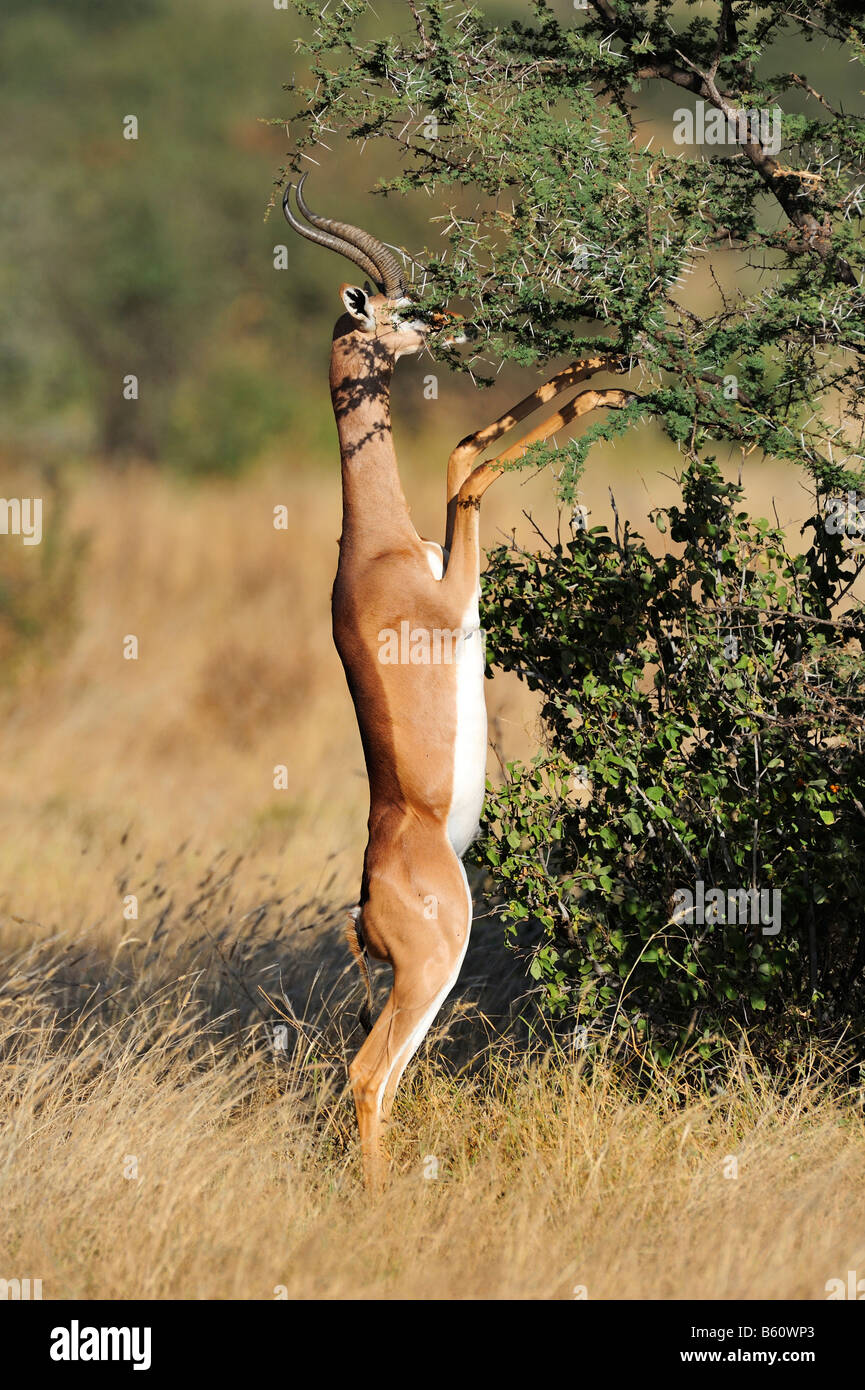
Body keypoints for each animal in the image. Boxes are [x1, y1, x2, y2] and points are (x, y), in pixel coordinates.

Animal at [284, 175, 633, 1188]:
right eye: (394, 308)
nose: (449, 318)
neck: (377, 550)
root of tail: (365, 908)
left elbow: (458, 452)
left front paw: (600, 355)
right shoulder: (455, 592)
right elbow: (474, 472)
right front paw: (605, 387)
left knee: (391, 1080)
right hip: (437, 961)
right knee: (366, 1076)